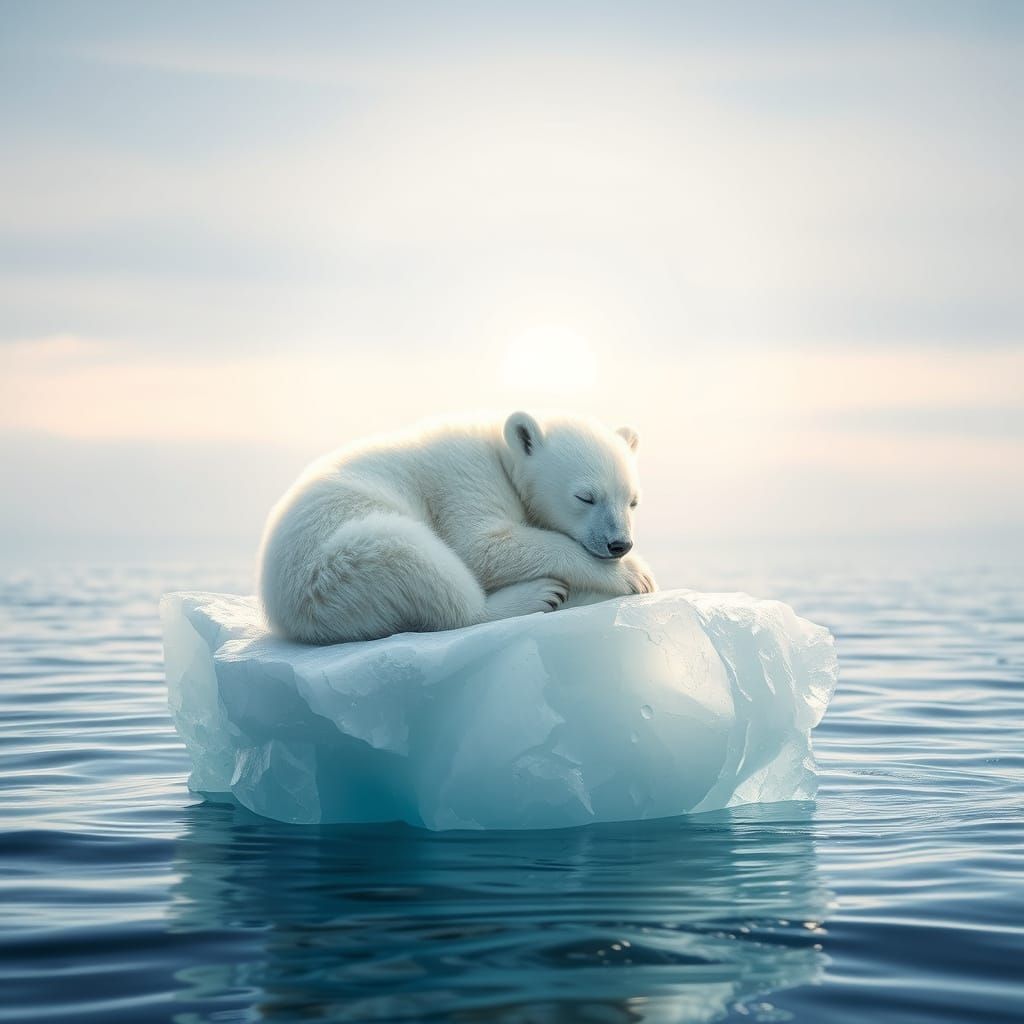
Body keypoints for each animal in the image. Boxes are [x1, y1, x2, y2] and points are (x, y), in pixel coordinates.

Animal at [257, 411, 658, 644]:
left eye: (633, 500)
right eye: (585, 497)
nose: (620, 544)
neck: (501, 453)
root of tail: (280, 611)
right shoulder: (467, 475)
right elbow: (480, 545)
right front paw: (635, 575)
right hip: (331, 572)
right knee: (415, 559)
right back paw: (537, 595)